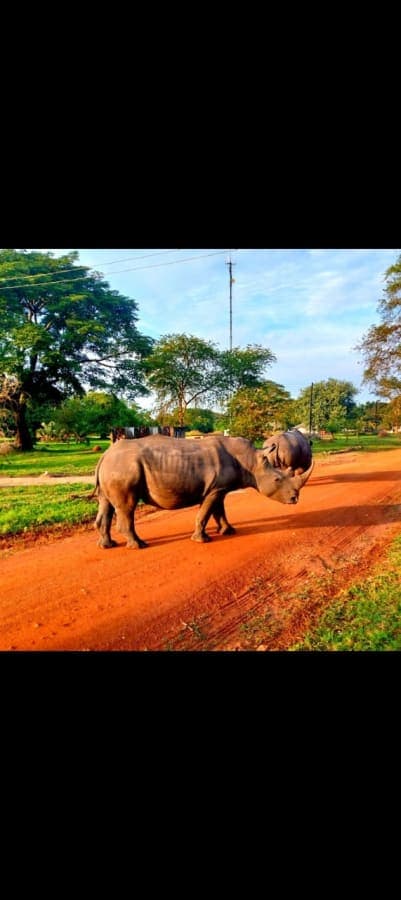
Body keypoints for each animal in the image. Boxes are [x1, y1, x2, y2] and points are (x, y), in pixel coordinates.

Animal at [94, 433, 314, 548]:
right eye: (277, 479)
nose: (295, 498)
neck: (251, 461)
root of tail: (105, 454)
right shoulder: (215, 490)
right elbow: (206, 513)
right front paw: (202, 540)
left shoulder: (218, 488)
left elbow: (219, 511)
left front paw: (228, 531)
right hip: (124, 469)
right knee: (127, 507)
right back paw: (140, 545)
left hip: (115, 467)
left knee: (106, 504)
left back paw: (108, 545)